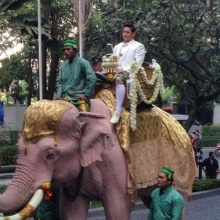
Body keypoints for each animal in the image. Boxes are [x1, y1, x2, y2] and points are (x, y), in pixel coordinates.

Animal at [0, 99, 196, 219]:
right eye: (18, 148)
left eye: (50, 154)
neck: (83, 115)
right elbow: (71, 212)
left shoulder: (117, 165)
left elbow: (118, 210)